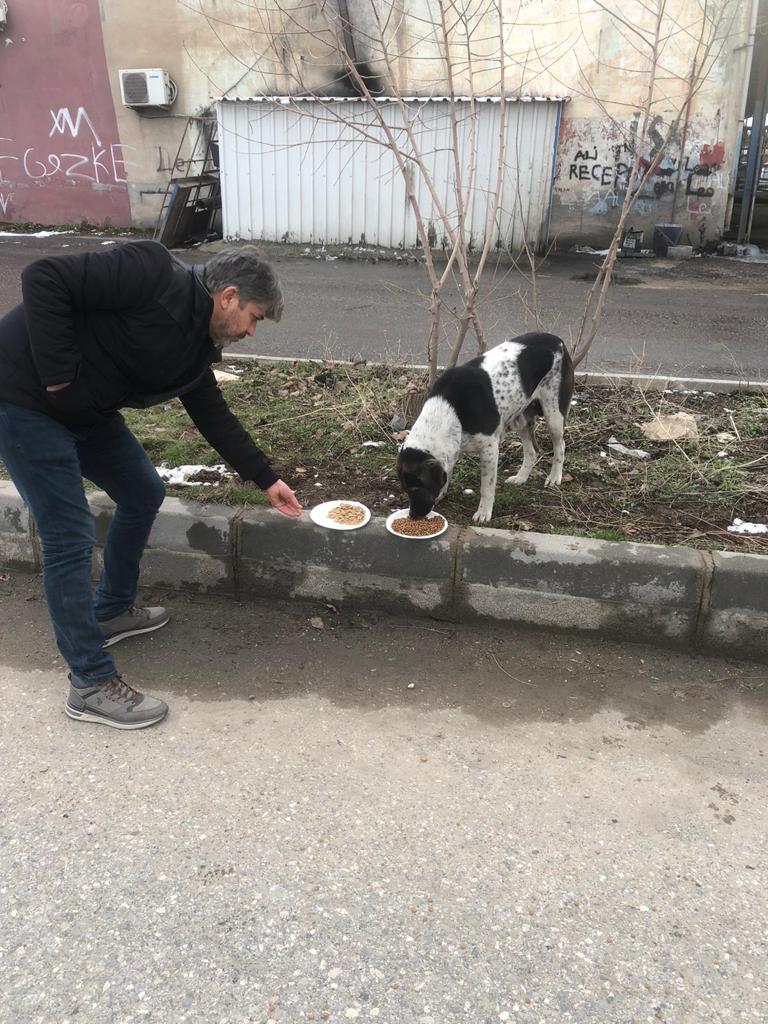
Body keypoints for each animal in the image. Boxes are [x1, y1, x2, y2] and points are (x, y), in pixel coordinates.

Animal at [399, 331, 573, 524]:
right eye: (405, 490)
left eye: (417, 489)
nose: (412, 515)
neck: (448, 410)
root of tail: (558, 340)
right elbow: (448, 472)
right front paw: (442, 493)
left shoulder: (489, 449)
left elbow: (487, 487)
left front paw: (484, 512)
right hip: (520, 419)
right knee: (532, 451)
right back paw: (520, 478)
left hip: (553, 415)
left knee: (560, 446)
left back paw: (555, 477)